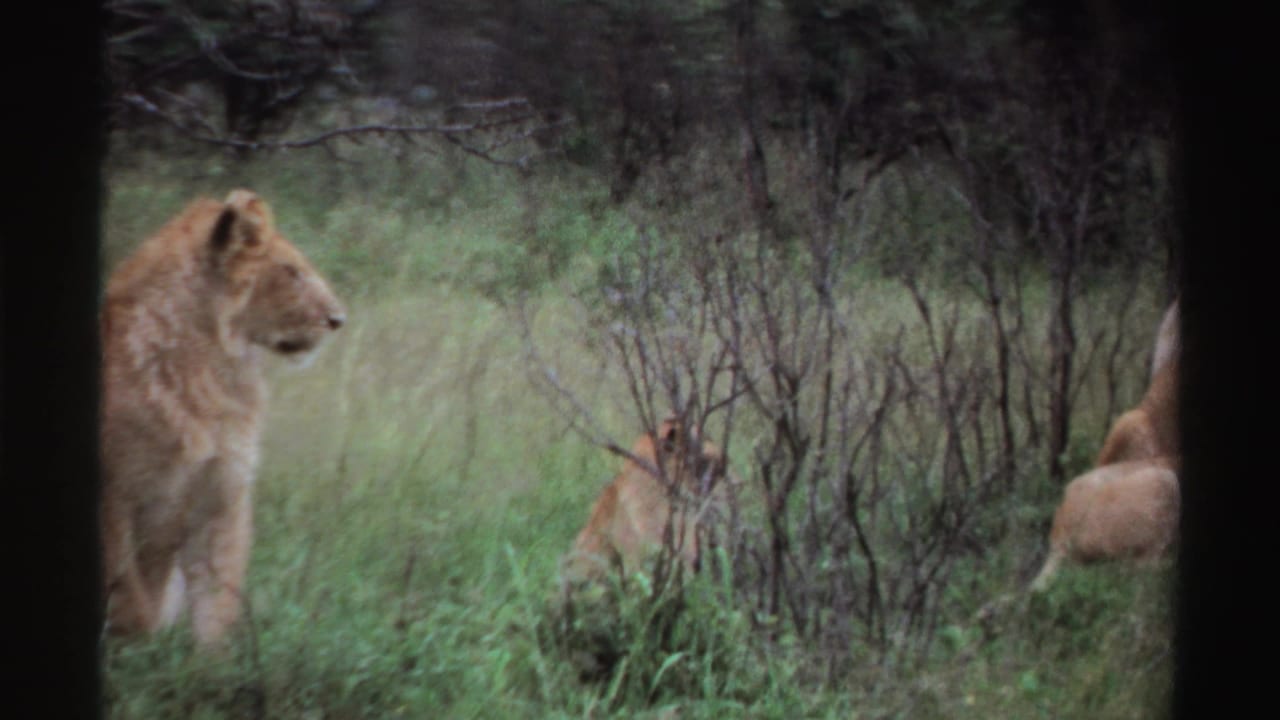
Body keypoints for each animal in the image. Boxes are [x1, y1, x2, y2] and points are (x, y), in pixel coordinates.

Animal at [99, 189, 346, 649]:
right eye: (291, 271)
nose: (339, 320)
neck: (209, 369)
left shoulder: (221, 494)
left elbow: (216, 603)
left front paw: (204, 664)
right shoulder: (114, 497)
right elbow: (132, 600)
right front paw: (144, 646)